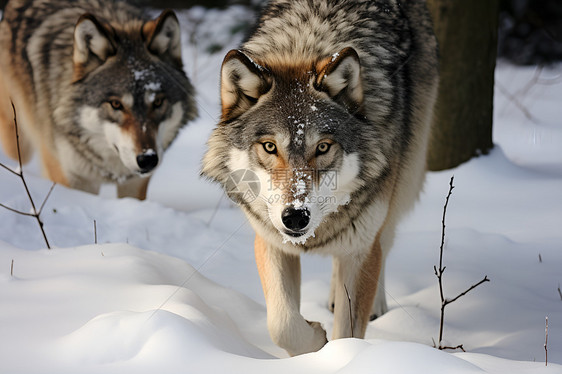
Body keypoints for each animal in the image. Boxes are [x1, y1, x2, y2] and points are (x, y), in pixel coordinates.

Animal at [0, 0, 197, 200]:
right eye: (116, 104)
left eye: (157, 102)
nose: (147, 159)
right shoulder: (74, 179)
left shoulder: (135, 184)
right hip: (18, 140)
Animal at [201, 0, 438, 356]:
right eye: (269, 147)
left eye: (323, 147)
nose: (296, 217)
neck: (307, 44)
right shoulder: (270, 240)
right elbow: (282, 324)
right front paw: (314, 344)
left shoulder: (361, 247)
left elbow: (348, 333)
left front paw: (340, 355)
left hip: (404, 179)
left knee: (385, 241)